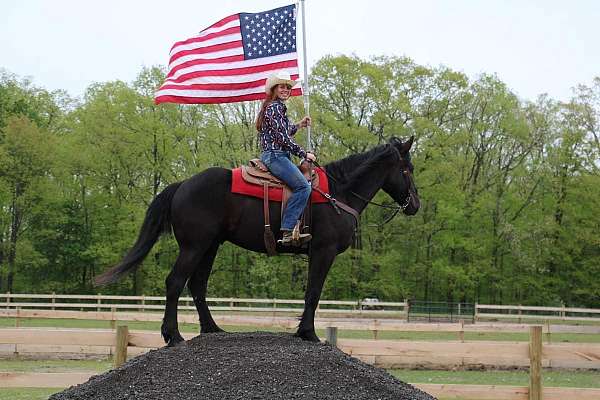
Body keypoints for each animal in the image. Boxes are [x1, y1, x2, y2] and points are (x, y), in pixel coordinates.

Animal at [96, 136, 420, 346]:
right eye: (407, 169)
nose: (415, 205)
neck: (338, 193)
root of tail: (183, 185)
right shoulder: (323, 251)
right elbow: (313, 293)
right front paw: (308, 333)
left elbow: (310, 293)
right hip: (194, 246)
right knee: (175, 282)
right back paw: (173, 336)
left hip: (210, 246)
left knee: (197, 285)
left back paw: (212, 329)